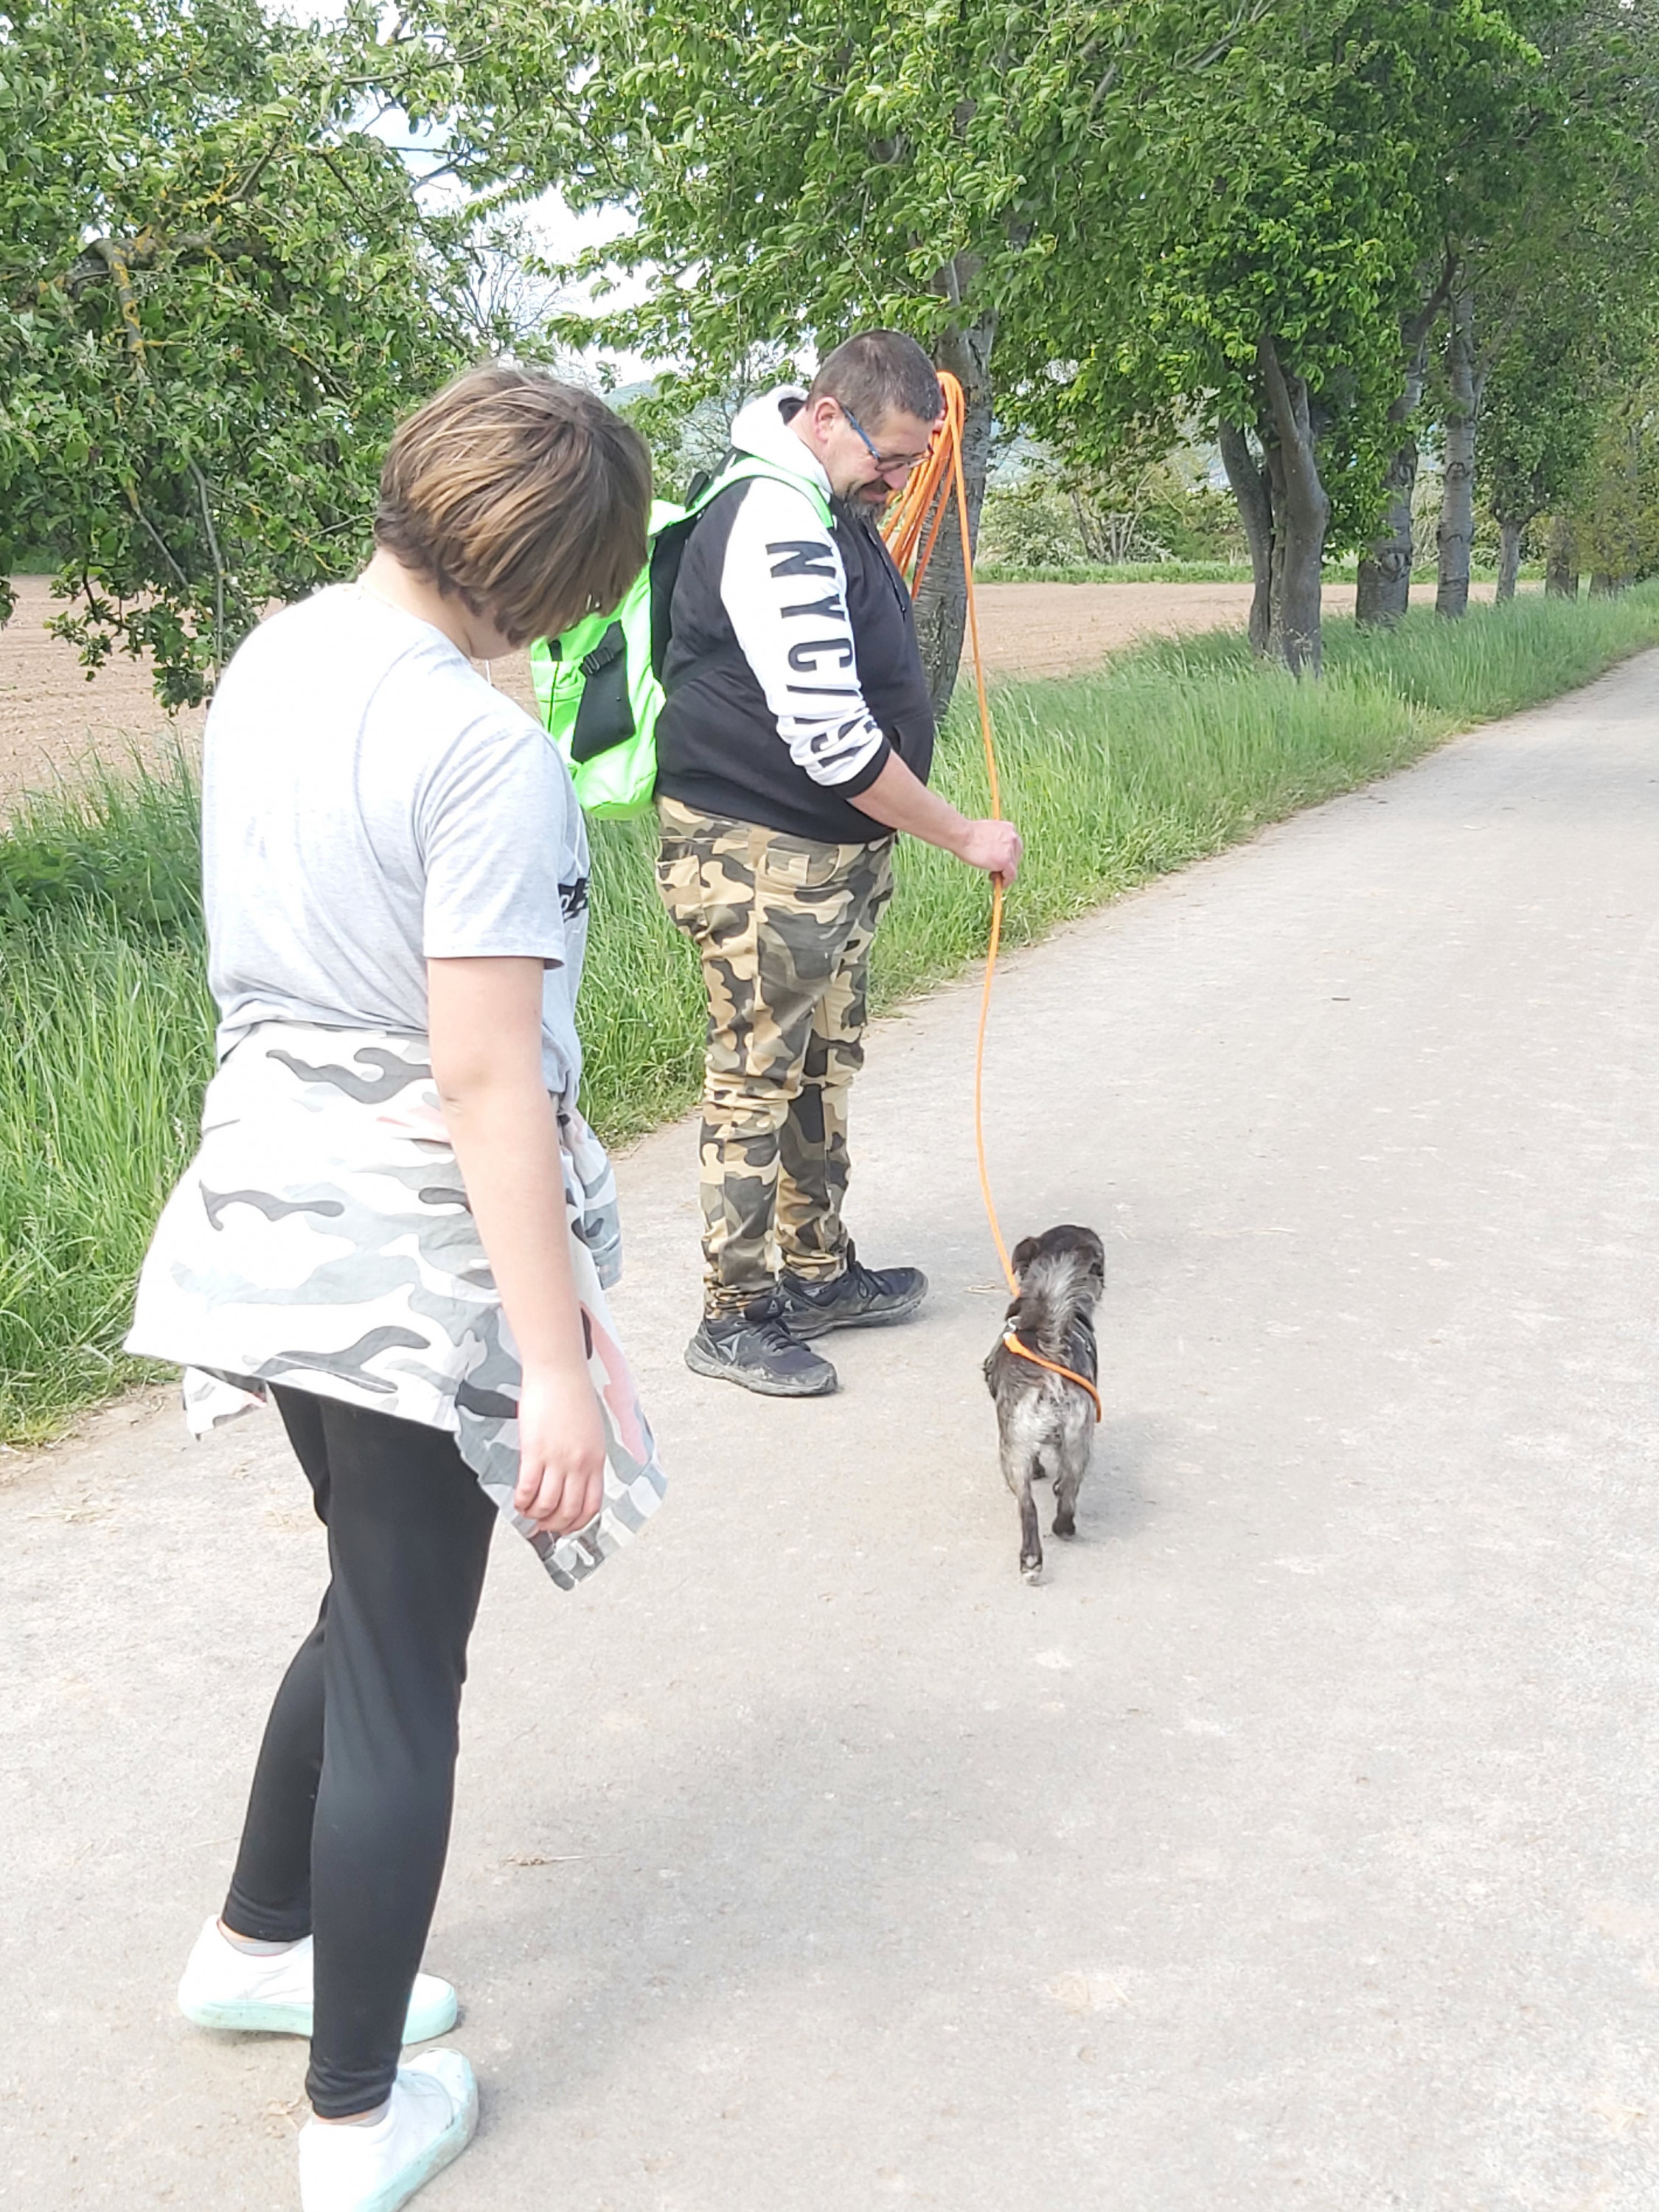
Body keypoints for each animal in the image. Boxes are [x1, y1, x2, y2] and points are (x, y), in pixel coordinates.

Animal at [983, 1224, 1106, 1583]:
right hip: (1078, 1445)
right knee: (1066, 1494)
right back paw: (1059, 1532)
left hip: (1013, 1453)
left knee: (1029, 1507)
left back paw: (1033, 1558)